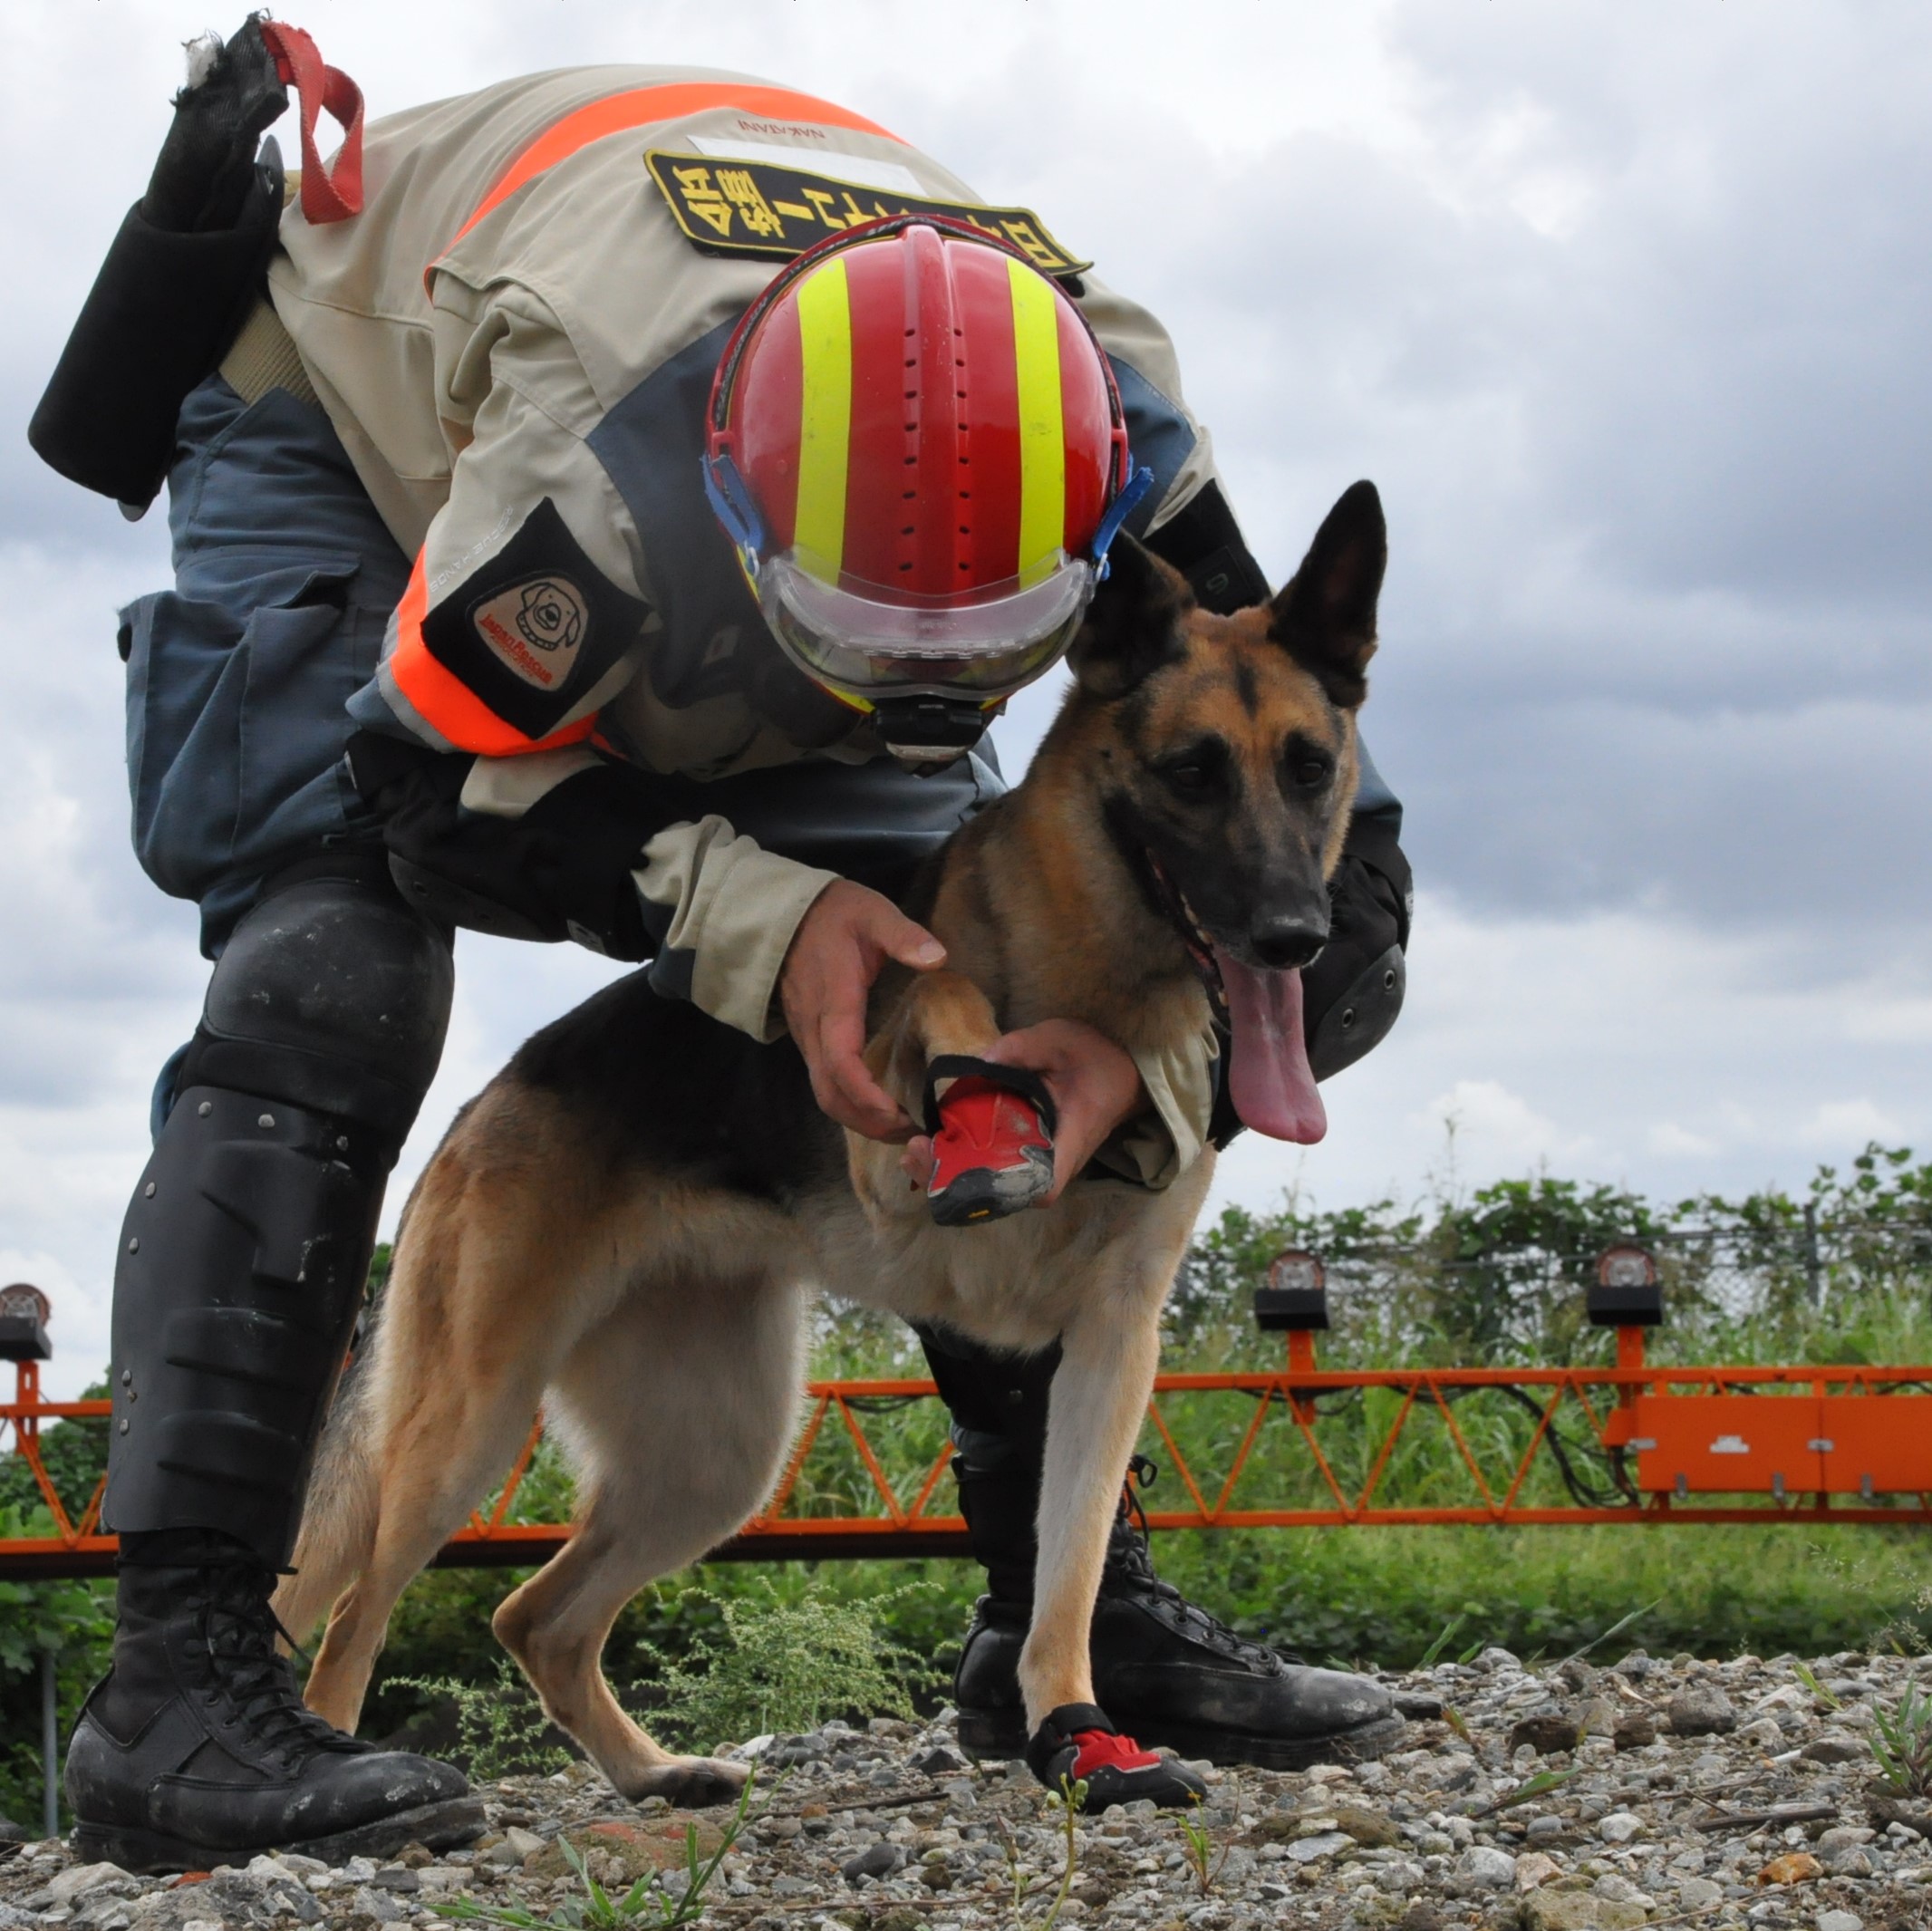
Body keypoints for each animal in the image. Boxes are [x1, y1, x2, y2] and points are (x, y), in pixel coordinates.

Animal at [275, 478, 1391, 1807]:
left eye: (1311, 768)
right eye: (1191, 772)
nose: (1295, 935)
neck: (1099, 969)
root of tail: (482, 1099)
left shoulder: (1112, 1351)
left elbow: (1066, 1571)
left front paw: (1078, 1733)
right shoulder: (887, 1135)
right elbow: (925, 975)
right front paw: (981, 1080)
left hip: (718, 1454)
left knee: (533, 1616)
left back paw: (652, 1774)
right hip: (467, 1433)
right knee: (349, 1625)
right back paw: (352, 1774)